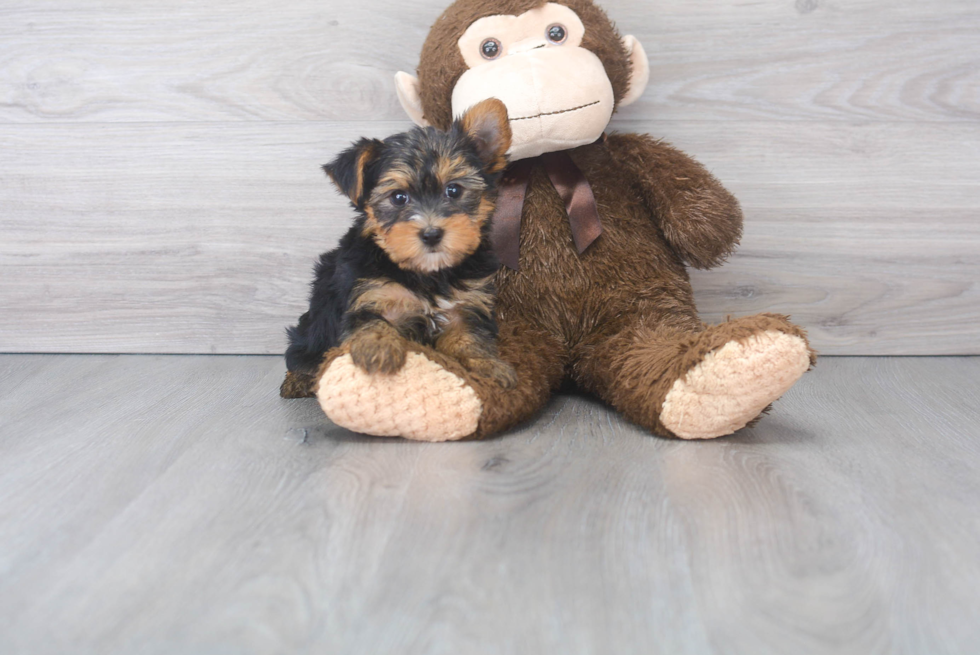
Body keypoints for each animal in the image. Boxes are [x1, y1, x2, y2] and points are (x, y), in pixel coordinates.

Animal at [280, 98, 516, 400]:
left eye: (453, 190)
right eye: (398, 197)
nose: (431, 233)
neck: (428, 274)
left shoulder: (465, 307)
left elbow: (470, 339)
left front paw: (489, 367)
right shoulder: (369, 294)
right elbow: (371, 322)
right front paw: (379, 349)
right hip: (314, 322)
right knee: (300, 351)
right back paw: (297, 380)